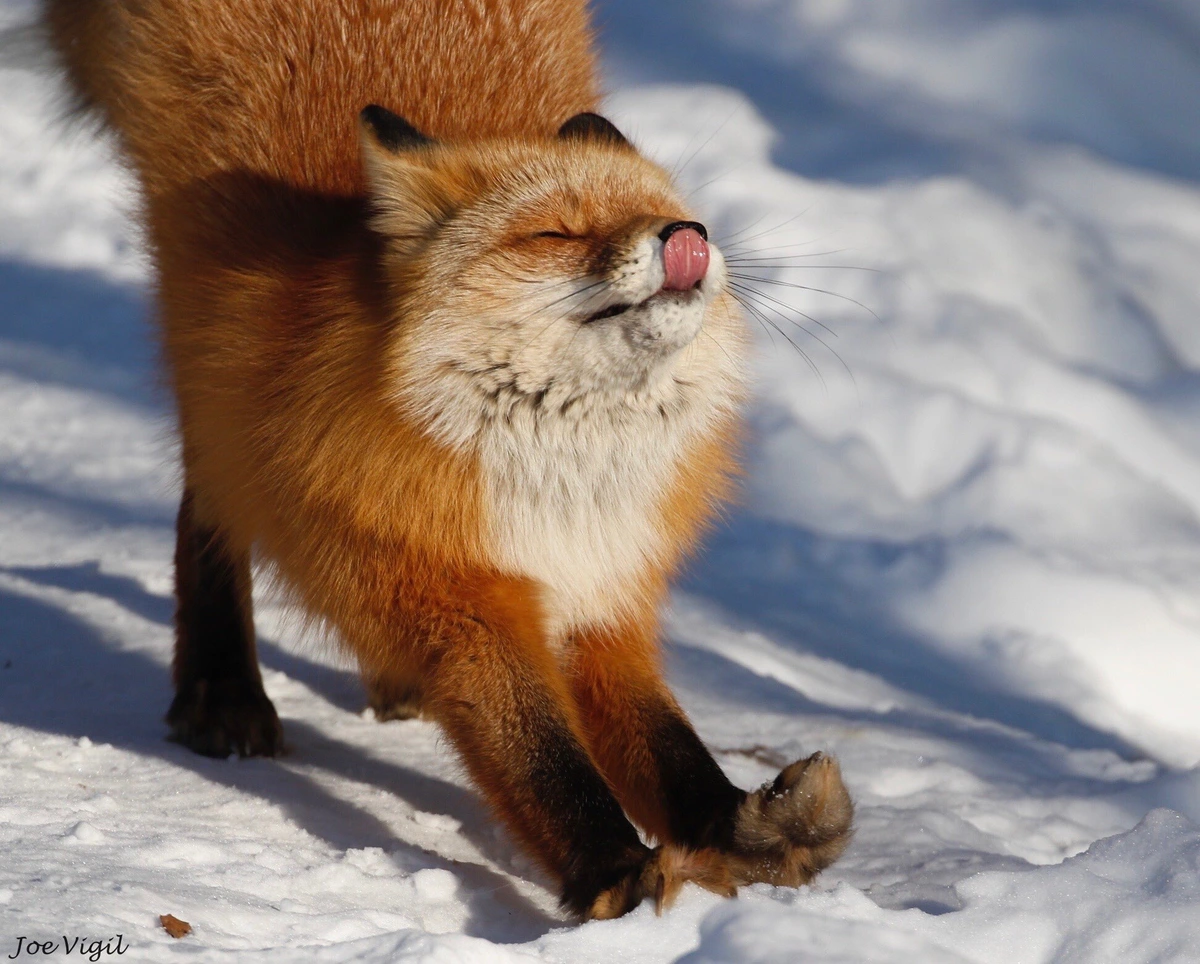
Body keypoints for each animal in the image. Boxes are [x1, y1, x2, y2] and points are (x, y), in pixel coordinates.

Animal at [41, 0, 853, 919]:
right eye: (556, 231)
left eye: (675, 212)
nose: (690, 237)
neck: (559, 486)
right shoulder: (451, 591)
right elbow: (540, 754)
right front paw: (613, 873)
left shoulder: (605, 590)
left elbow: (664, 745)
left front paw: (742, 833)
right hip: (201, 352)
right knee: (209, 497)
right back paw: (222, 692)